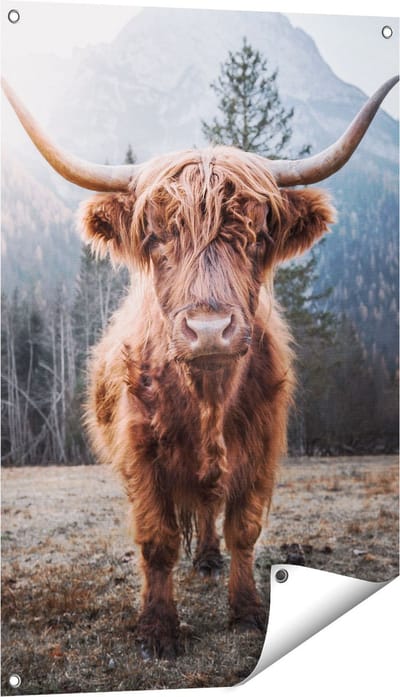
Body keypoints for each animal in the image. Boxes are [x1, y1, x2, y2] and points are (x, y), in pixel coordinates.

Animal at [2, 74, 398, 659]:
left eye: (257, 237)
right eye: (155, 238)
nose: (209, 329)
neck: (207, 395)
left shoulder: (262, 447)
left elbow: (244, 529)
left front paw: (249, 610)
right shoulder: (140, 454)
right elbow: (158, 541)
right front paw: (158, 629)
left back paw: (210, 559)